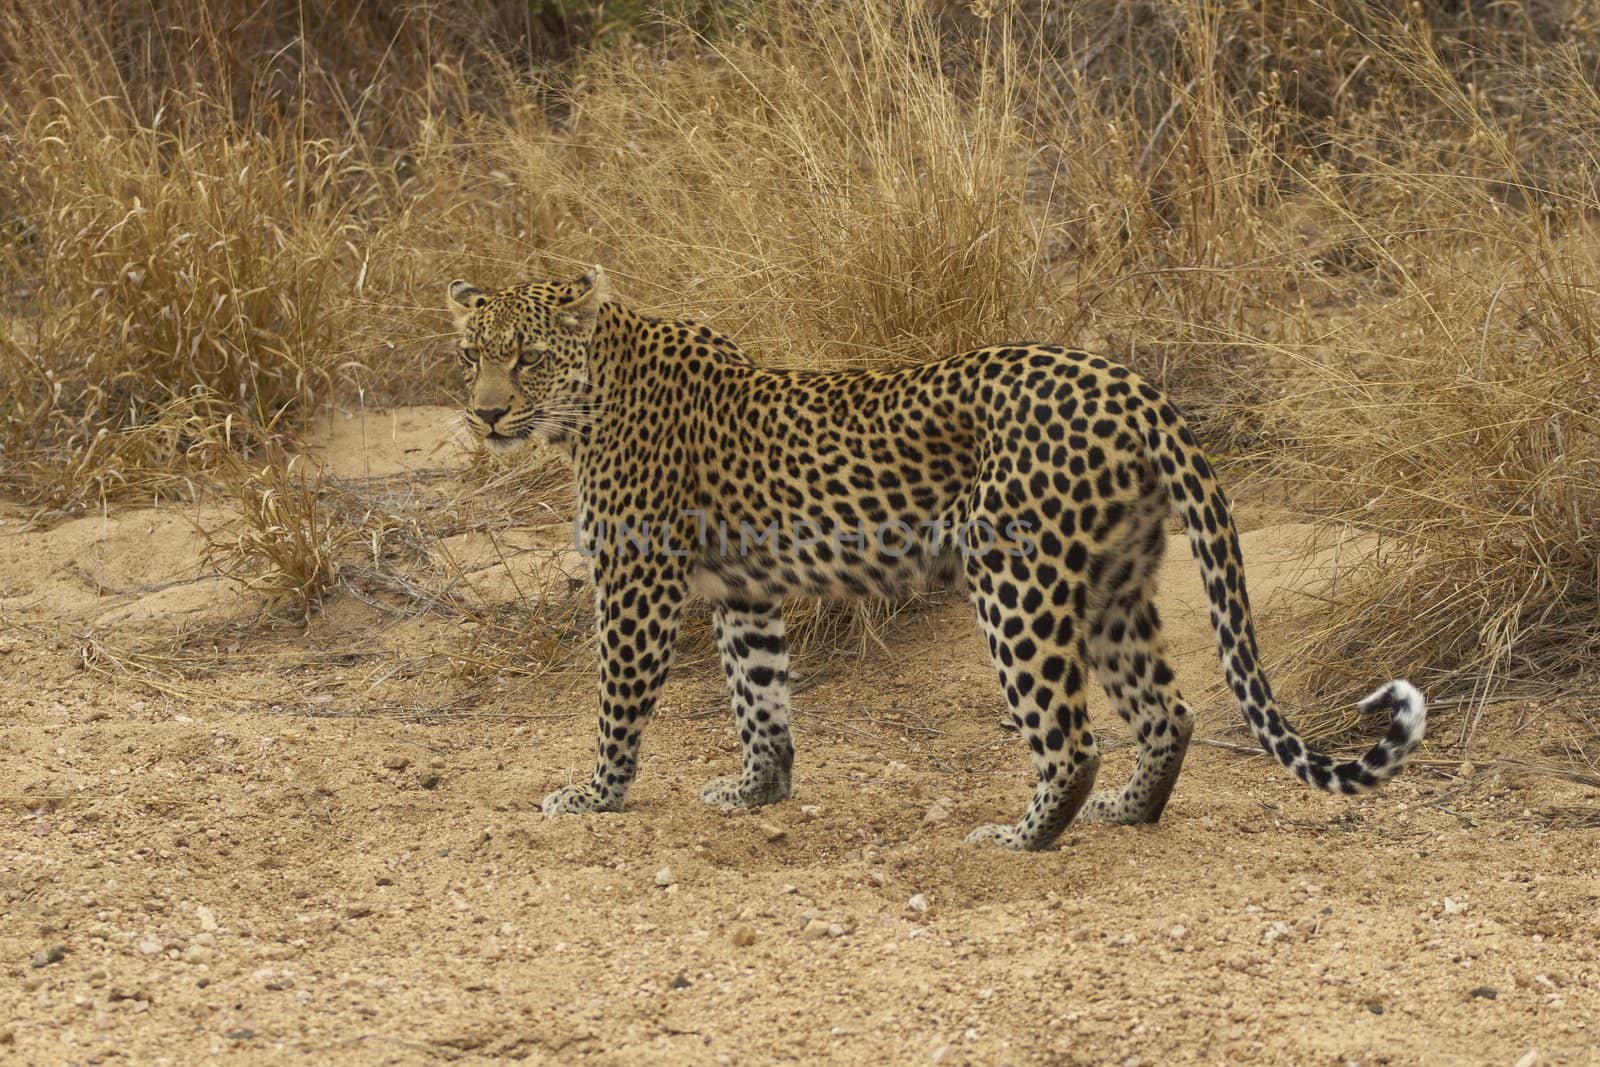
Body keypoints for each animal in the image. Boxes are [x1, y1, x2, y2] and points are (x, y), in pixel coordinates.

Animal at [448, 267, 1427, 851]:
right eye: (469, 356)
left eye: (525, 360)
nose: (485, 415)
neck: (593, 395)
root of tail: (1133, 385)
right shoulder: (746, 591)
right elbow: (759, 695)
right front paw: (760, 789)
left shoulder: (637, 582)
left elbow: (618, 699)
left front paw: (593, 794)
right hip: (1112, 584)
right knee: (1169, 710)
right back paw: (1128, 811)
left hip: (1017, 580)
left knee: (1072, 737)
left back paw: (1023, 837)